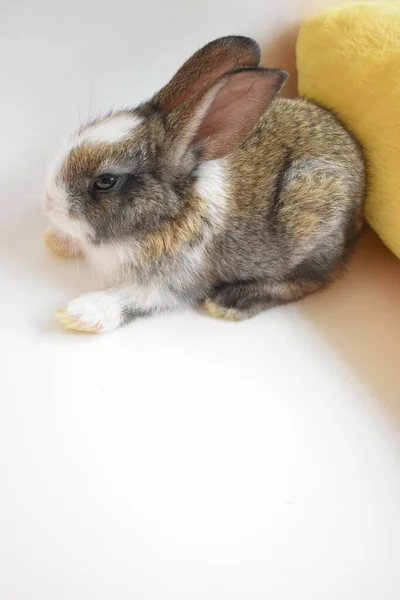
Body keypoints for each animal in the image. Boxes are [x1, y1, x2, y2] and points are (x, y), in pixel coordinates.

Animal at [43, 34, 366, 332]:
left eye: (105, 181)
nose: (47, 203)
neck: (167, 214)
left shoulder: (176, 281)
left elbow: (131, 298)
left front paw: (79, 314)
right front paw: (55, 239)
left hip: (312, 217)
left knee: (312, 279)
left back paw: (231, 302)